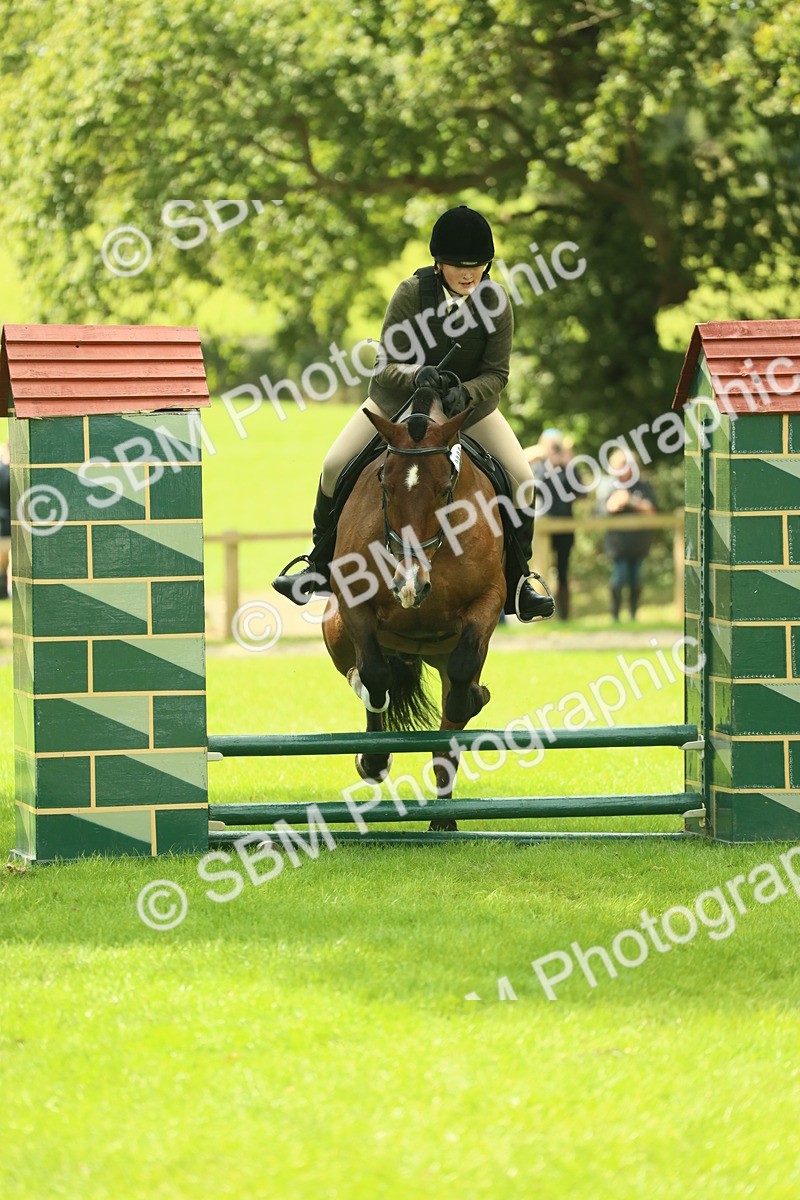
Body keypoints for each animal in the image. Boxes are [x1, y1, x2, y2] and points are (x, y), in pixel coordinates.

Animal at [321, 391, 506, 831]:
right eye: (384, 485)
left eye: (445, 488)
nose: (410, 585)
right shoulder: (352, 602)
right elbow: (374, 676)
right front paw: (372, 760)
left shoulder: (490, 598)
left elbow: (462, 678)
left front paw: (472, 698)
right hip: (335, 630)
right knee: (364, 675)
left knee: (449, 722)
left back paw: (444, 820)